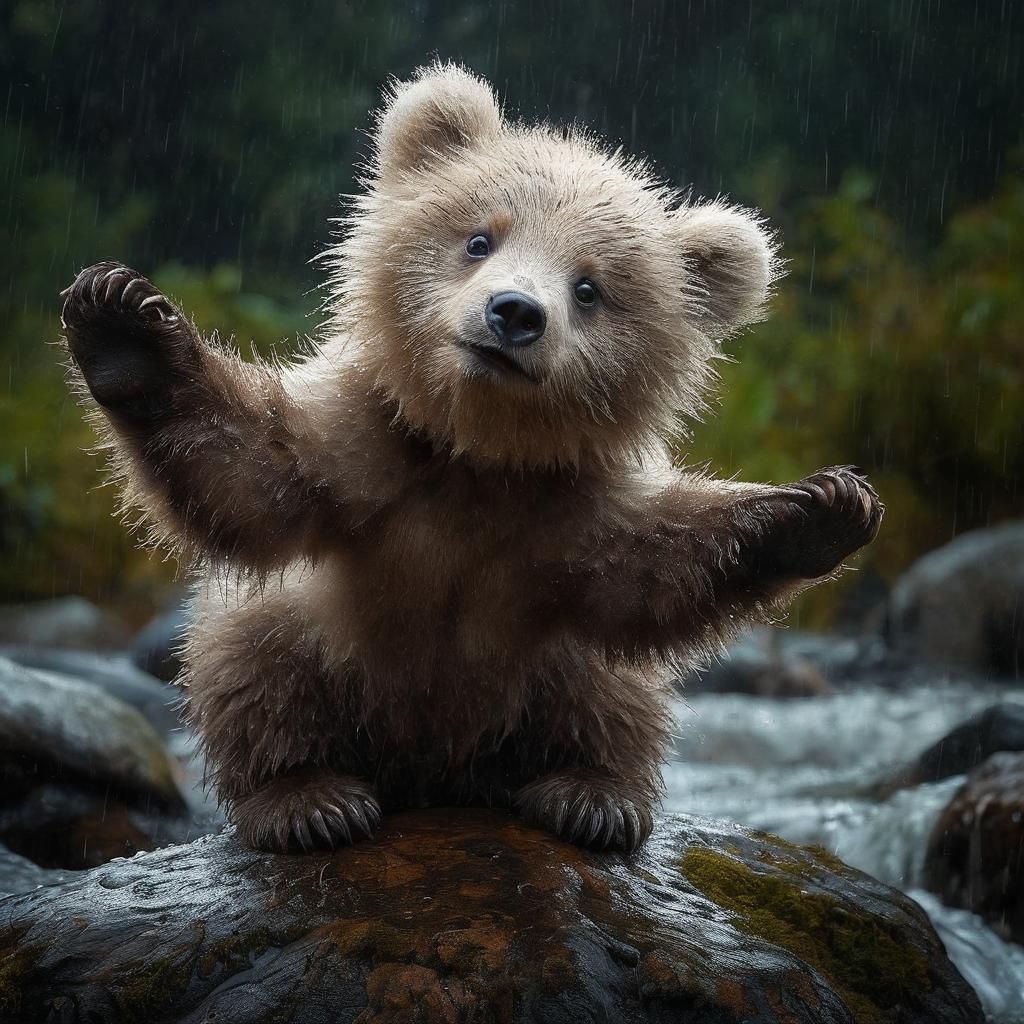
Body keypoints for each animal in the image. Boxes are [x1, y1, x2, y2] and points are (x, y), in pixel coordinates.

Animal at [59, 63, 882, 853]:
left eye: (590, 287)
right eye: (479, 239)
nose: (514, 313)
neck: (477, 456)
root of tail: (435, 779)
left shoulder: (565, 511)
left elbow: (650, 570)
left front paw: (823, 507)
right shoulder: (366, 452)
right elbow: (254, 478)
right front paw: (125, 326)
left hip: (546, 680)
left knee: (611, 690)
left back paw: (590, 796)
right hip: (304, 644)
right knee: (254, 657)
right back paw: (308, 800)